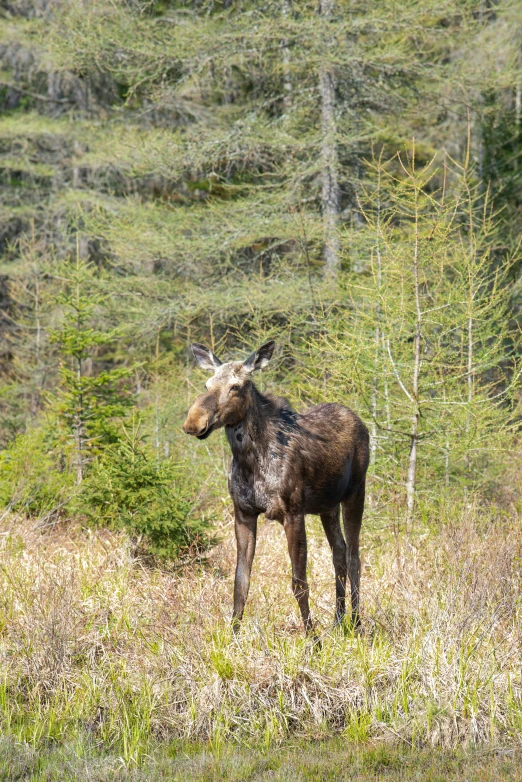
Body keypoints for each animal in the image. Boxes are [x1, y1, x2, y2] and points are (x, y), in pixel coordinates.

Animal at [182, 344, 366, 636]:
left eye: (236, 386)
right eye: (207, 384)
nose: (194, 421)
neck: (249, 461)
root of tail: (359, 421)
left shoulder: (293, 514)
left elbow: (299, 584)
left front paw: (313, 640)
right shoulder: (243, 514)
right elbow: (240, 582)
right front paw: (232, 636)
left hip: (355, 493)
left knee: (354, 556)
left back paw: (356, 624)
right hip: (327, 506)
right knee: (339, 552)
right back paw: (338, 621)